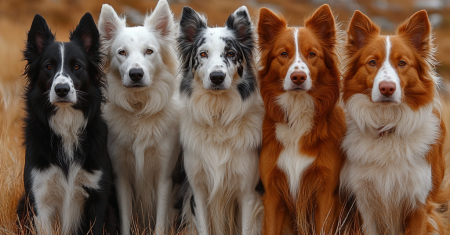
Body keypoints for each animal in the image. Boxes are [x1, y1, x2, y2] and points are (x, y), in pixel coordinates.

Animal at [17, 13, 117, 235]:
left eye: (77, 66)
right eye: (48, 66)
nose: (62, 89)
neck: (66, 124)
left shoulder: (98, 195)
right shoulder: (39, 195)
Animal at [99, 1, 180, 233]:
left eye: (149, 51)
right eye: (122, 52)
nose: (136, 74)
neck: (139, 108)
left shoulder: (164, 177)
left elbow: (160, 223)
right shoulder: (121, 176)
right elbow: (126, 221)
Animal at [256, 4, 344, 234]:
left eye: (312, 54)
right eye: (283, 54)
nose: (298, 77)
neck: (297, 111)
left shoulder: (326, 194)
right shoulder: (273, 193)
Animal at [342, 9, 446, 235]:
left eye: (402, 63)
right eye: (372, 62)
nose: (387, 88)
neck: (388, 124)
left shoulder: (419, 203)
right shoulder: (365, 202)